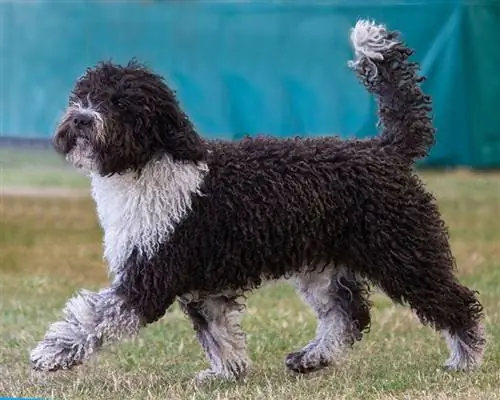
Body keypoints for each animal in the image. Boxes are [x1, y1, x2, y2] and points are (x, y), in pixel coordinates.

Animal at [30, 19, 484, 382]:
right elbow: (219, 332)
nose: (81, 120)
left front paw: (51, 353)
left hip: (405, 252)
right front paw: (226, 374)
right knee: (348, 315)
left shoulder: (150, 276)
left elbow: (94, 317)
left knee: (457, 302)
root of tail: (384, 149)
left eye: (121, 103)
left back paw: (465, 359)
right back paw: (311, 358)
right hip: (323, 264)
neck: (150, 165)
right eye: (83, 96)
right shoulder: (202, 286)